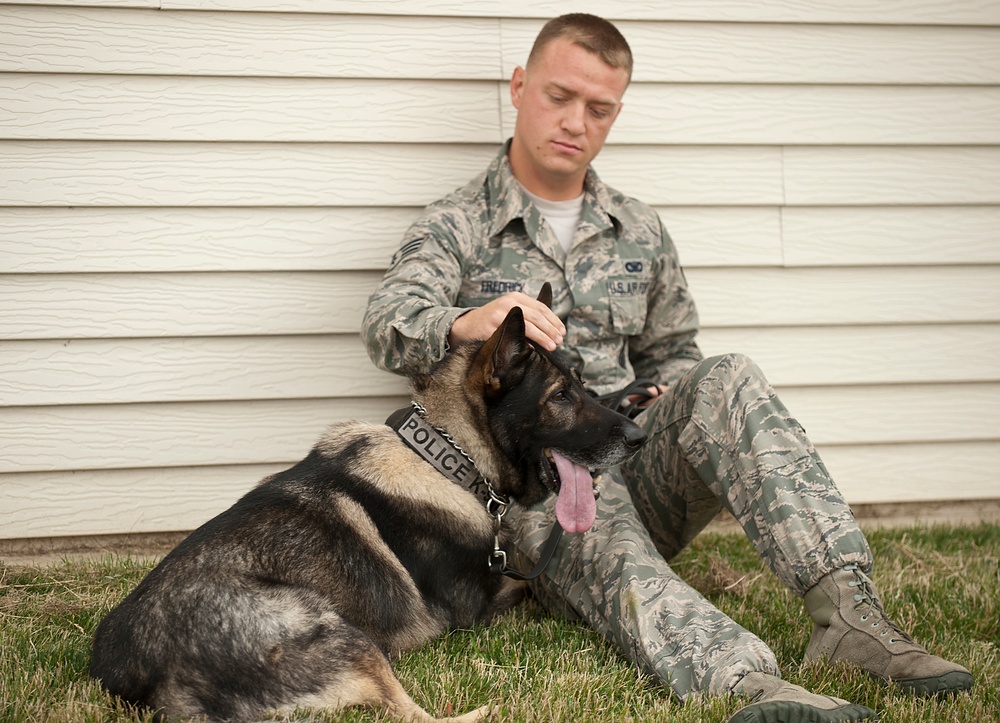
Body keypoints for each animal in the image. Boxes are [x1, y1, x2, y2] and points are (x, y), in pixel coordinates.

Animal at [90, 286, 644, 720]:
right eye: (560, 397)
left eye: (583, 387)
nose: (639, 436)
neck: (445, 456)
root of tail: (146, 677)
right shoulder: (479, 606)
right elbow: (533, 584)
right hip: (351, 639)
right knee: (414, 715)